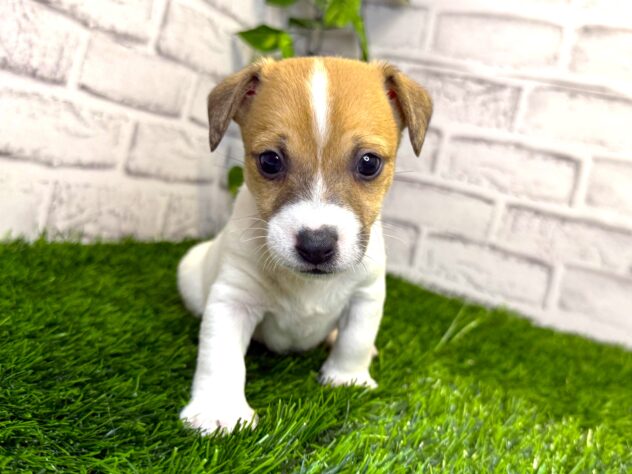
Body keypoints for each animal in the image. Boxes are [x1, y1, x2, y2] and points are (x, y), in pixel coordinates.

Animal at [178, 57, 432, 434]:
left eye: (369, 163)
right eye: (270, 161)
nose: (316, 246)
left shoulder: (367, 295)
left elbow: (355, 340)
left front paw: (348, 379)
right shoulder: (232, 298)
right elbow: (221, 356)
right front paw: (219, 411)